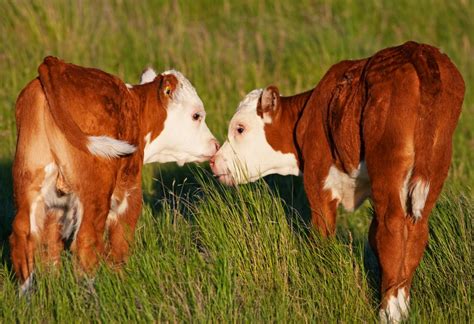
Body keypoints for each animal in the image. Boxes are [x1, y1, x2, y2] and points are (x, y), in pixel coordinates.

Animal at [10, 56, 218, 294]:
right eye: (196, 115)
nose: (215, 144)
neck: (136, 111)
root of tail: (55, 63)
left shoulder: (57, 208)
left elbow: (50, 245)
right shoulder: (130, 192)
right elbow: (120, 241)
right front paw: (121, 281)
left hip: (29, 181)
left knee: (23, 235)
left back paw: (28, 296)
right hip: (96, 189)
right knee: (87, 239)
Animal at [210, 41, 462, 322]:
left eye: (240, 128)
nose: (214, 161)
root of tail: (416, 50)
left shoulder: (318, 181)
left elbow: (322, 234)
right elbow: (372, 236)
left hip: (389, 161)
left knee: (392, 228)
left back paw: (389, 312)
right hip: (436, 164)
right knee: (415, 230)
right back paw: (402, 306)